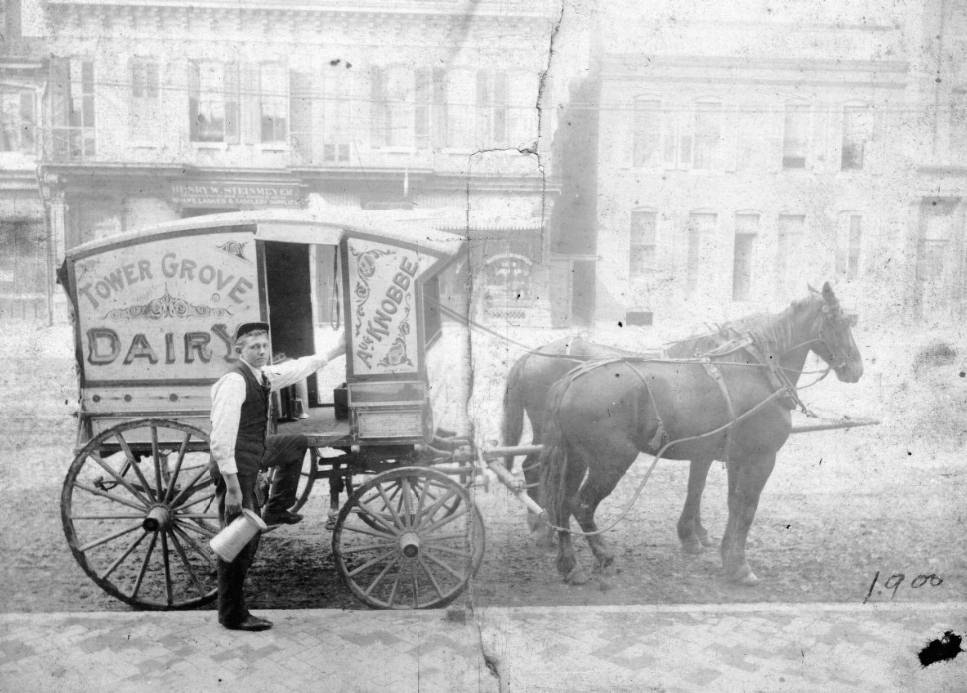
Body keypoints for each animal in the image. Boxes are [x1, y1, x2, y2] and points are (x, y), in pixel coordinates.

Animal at [506, 312, 772, 548]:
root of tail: (533, 355)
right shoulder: (703, 450)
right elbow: (696, 488)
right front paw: (692, 535)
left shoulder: (703, 451)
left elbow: (697, 486)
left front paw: (698, 533)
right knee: (534, 467)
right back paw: (541, 525)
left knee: (534, 467)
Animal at [536, 284, 864, 588]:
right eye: (840, 320)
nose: (857, 368)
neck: (757, 369)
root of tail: (570, 380)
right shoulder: (760, 459)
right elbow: (746, 508)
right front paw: (739, 566)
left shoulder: (736, 458)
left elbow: (733, 505)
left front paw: (727, 556)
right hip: (611, 461)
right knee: (582, 505)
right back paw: (601, 554)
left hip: (576, 458)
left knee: (562, 503)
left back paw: (570, 565)